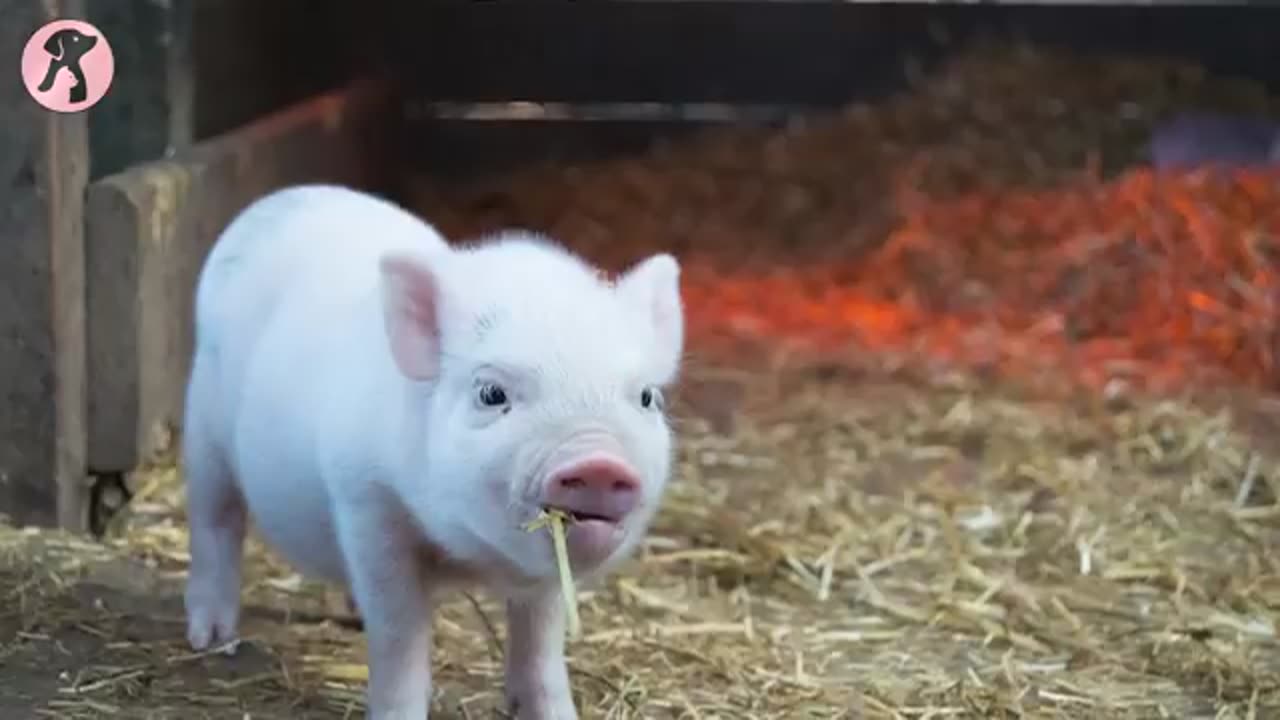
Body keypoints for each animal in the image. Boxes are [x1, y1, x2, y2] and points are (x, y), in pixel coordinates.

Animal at [181, 184, 685, 719]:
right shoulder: (366, 502)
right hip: (204, 429)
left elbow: (541, 640)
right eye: (491, 393)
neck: (471, 555)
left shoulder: (546, 576)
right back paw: (211, 637)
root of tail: (281, 199)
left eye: (647, 397)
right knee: (216, 522)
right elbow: (399, 633)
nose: (599, 463)